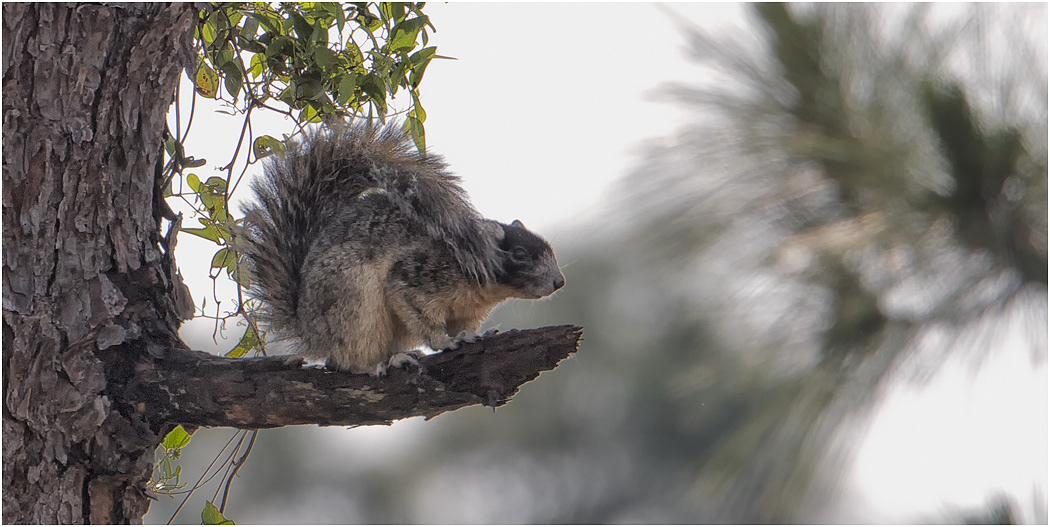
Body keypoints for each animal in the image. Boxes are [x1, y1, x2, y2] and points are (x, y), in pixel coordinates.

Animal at [240, 124, 565, 374]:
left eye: (549, 248)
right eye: (519, 254)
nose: (559, 282)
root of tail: (308, 330)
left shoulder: (467, 311)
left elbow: (464, 326)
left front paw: (475, 334)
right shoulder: (418, 276)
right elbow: (420, 312)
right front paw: (448, 342)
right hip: (353, 299)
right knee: (343, 360)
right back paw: (376, 365)